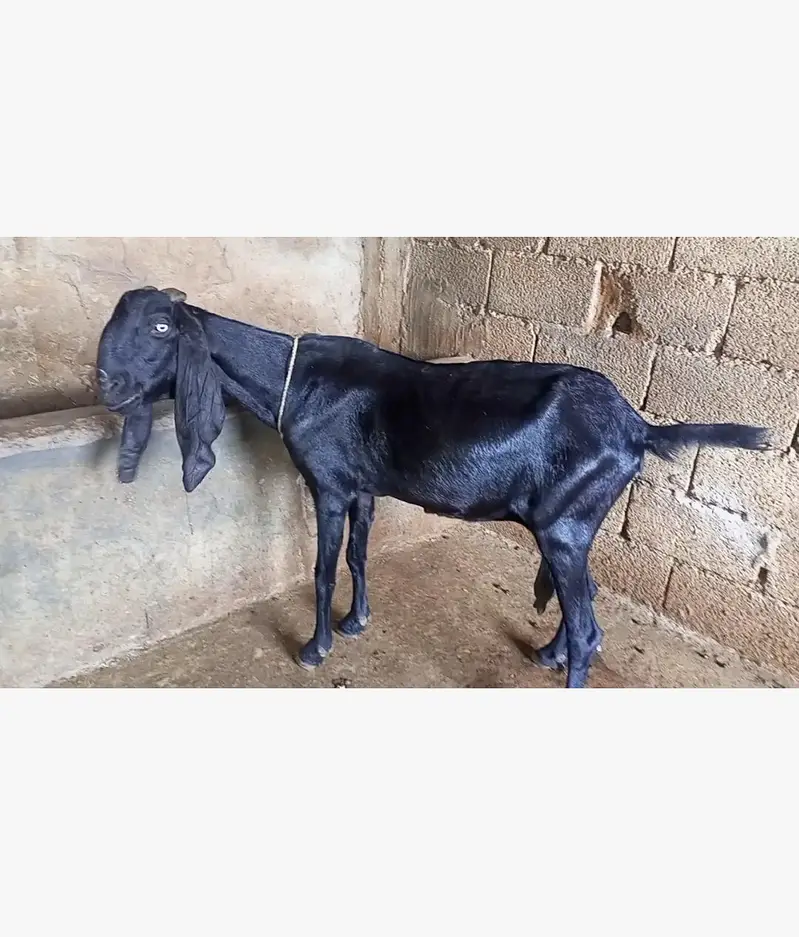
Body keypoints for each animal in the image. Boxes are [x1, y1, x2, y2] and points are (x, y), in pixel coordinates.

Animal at [96, 286, 771, 688]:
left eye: (161, 327)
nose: (105, 382)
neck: (297, 382)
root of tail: (638, 428)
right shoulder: (364, 487)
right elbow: (359, 556)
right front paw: (356, 623)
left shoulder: (329, 485)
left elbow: (322, 569)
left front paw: (315, 649)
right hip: (575, 524)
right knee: (587, 596)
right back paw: (546, 654)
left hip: (563, 525)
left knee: (589, 629)